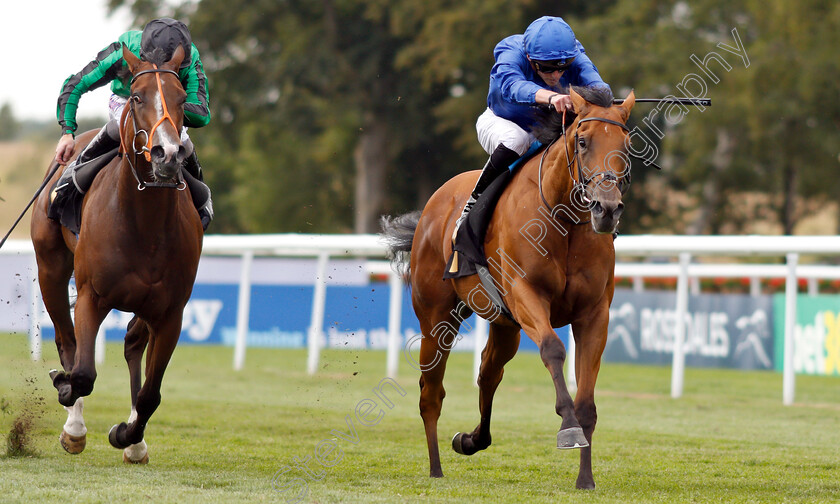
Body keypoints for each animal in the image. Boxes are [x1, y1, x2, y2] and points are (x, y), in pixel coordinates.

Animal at [29, 45, 202, 462]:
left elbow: (152, 394)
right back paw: (73, 425)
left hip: (146, 304)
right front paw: (65, 394)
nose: (167, 154)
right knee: (67, 343)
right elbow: (82, 373)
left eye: (182, 100)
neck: (144, 225)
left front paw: (128, 435)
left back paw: (135, 442)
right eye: (137, 97)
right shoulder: (91, 296)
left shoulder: (171, 312)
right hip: (50, 268)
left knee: (132, 344)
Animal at [382, 86, 636, 488]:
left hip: (505, 326)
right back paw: (436, 469)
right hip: (436, 320)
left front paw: (585, 478)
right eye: (582, 141)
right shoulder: (525, 294)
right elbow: (552, 349)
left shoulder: (594, 314)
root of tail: (433, 205)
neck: (564, 220)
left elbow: (587, 399)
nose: (606, 208)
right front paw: (568, 428)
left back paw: (472, 439)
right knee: (431, 393)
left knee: (488, 372)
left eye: (626, 145)